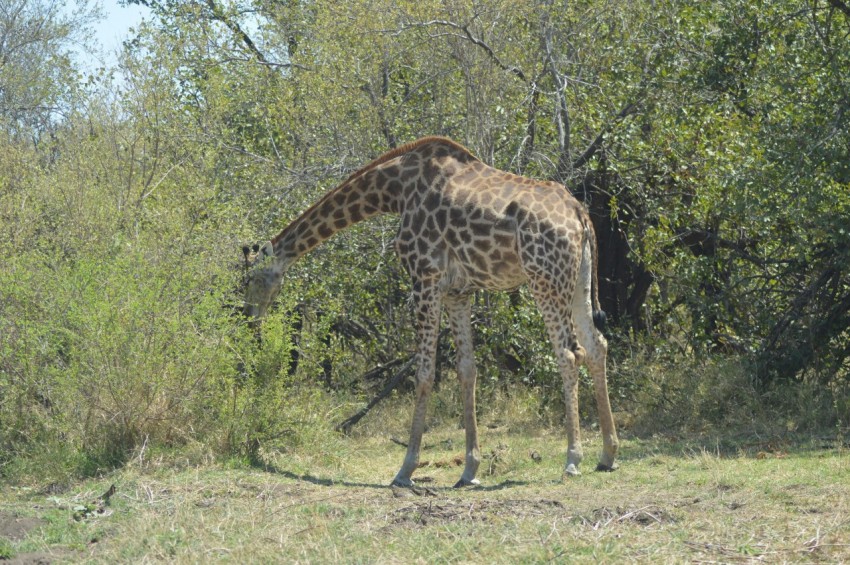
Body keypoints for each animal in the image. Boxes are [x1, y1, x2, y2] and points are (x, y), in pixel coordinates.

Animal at [242, 135, 620, 484]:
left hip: (545, 280)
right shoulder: (458, 291)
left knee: (569, 353)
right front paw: (470, 469)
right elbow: (467, 370)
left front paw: (406, 469)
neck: (394, 191)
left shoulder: (424, 276)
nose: (249, 320)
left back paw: (572, 459)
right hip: (578, 280)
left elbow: (424, 372)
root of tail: (580, 214)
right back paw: (608, 454)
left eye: (250, 280)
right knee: (597, 345)